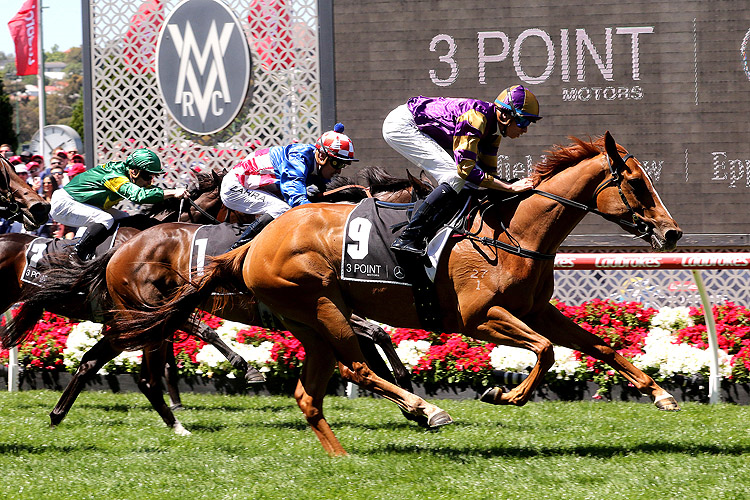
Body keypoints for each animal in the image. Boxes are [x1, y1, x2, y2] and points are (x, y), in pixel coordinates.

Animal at [4, 166, 434, 436]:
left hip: (137, 319)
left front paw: (406, 391)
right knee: (134, 369)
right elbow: (373, 337)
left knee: (106, 364)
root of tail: (118, 252)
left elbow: (375, 339)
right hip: (141, 315)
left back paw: (63, 415)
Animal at [104, 133, 680, 454]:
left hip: (307, 322)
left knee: (310, 393)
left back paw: (343, 456)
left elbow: (598, 346)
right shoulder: (479, 316)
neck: (514, 231)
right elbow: (545, 351)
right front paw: (505, 394)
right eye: (636, 183)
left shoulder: (537, 309)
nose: (672, 233)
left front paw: (660, 394)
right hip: (322, 305)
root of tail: (252, 246)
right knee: (356, 366)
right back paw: (425, 409)